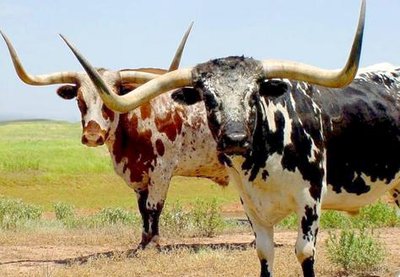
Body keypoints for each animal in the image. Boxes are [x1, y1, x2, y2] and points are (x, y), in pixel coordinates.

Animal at [2, 24, 228, 247]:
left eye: (111, 99)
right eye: (79, 100)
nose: (92, 136)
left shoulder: (161, 171)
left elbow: (154, 207)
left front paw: (153, 244)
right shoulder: (139, 176)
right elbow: (143, 210)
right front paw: (142, 243)